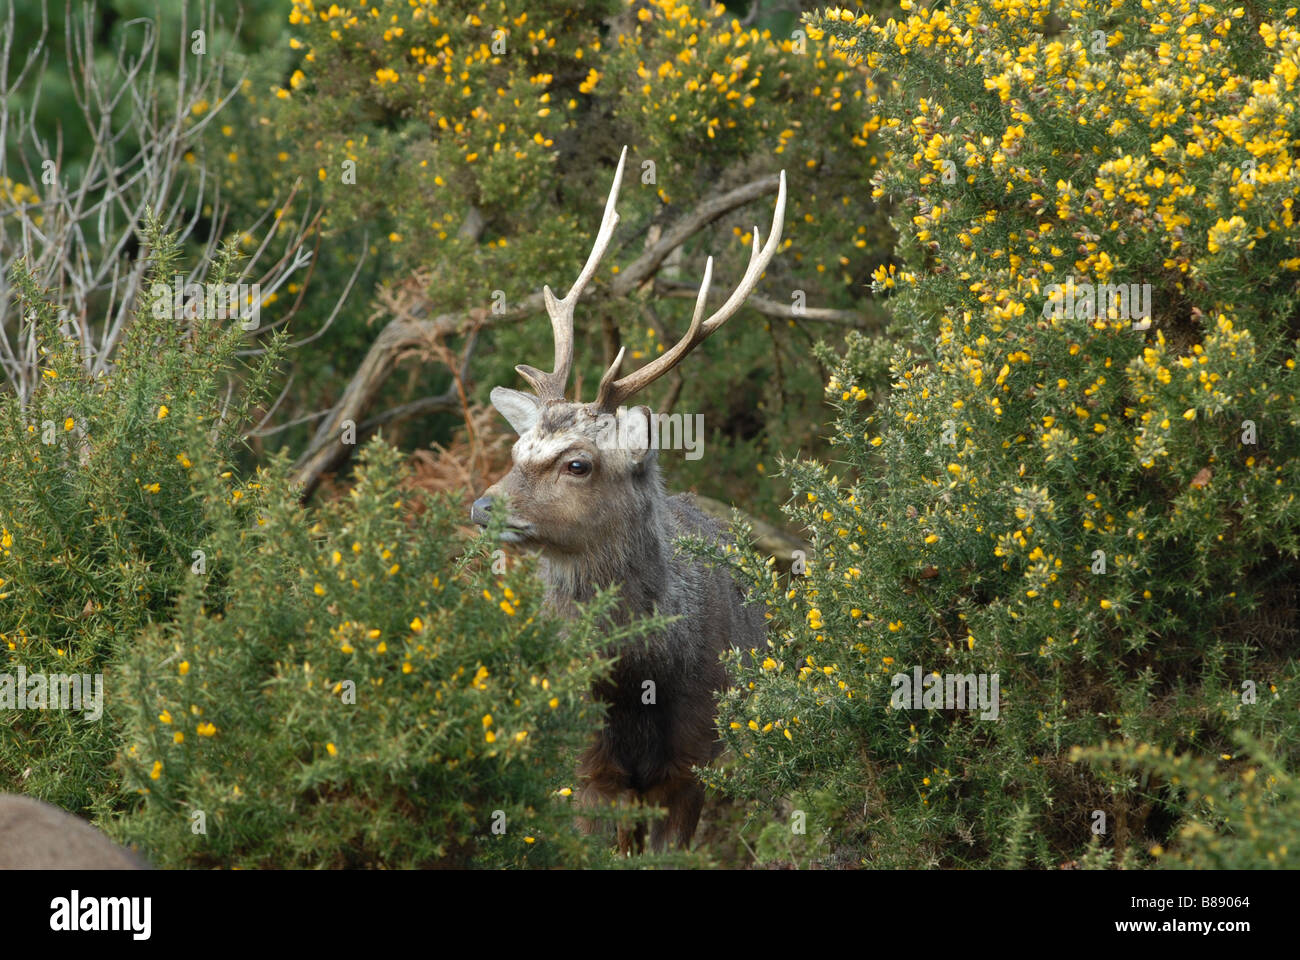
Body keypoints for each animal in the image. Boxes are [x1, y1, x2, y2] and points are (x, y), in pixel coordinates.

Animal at [471, 147, 785, 854]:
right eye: (517, 449)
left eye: (577, 463)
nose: (482, 507)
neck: (637, 680)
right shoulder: (582, 770)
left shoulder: (694, 763)